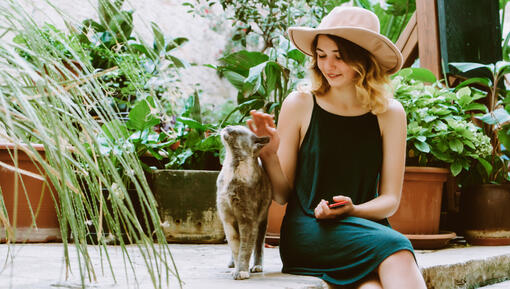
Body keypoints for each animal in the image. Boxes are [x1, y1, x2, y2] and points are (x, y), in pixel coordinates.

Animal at [217, 124, 274, 280]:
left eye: (236, 131)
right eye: (230, 126)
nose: (226, 126)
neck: (232, 166)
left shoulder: (248, 219)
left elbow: (245, 248)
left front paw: (242, 271)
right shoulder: (227, 219)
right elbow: (236, 247)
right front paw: (237, 269)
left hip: (262, 221)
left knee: (259, 244)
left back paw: (257, 266)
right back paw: (231, 265)